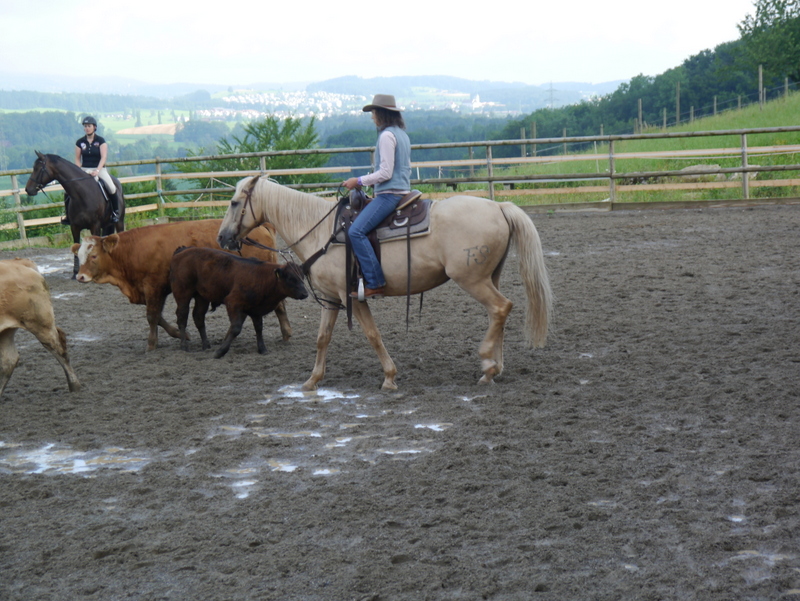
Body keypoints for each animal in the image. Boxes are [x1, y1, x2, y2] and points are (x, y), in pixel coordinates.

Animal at [0, 258, 80, 396]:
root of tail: (19, 262)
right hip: (6, 331)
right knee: (8, 361)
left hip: (41, 325)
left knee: (60, 350)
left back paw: (75, 386)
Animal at [71, 219, 292, 351]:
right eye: (79, 256)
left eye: (93, 255)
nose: (80, 276)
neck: (133, 250)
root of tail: (262, 226)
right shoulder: (154, 291)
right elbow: (159, 316)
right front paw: (180, 334)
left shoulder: (154, 286)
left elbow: (152, 316)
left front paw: (152, 345)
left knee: (279, 305)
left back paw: (286, 334)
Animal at [169, 247, 308, 358]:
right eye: (290, 278)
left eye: (302, 277)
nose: (305, 294)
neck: (261, 277)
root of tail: (181, 251)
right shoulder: (233, 302)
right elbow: (236, 328)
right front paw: (220, 351)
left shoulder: (256, 310)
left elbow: (259, 328)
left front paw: (262, 349)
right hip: (183, 293)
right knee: (182, 318)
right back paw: (184, 346)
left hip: (201, 297)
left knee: (198, 317)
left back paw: (206, 345)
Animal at [217, 176, 553, 391]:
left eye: (234, 203)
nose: (222, 238)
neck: (321, 230)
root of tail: (498, 207)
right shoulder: (331, 298)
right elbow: (323, 338)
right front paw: (312, 380)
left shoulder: (351, 296)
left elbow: (372, 335)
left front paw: (389, 377)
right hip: (488, 277)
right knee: (499, 313)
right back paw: (495, 368)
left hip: (472, 279)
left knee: (501, 307)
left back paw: (487, 365)